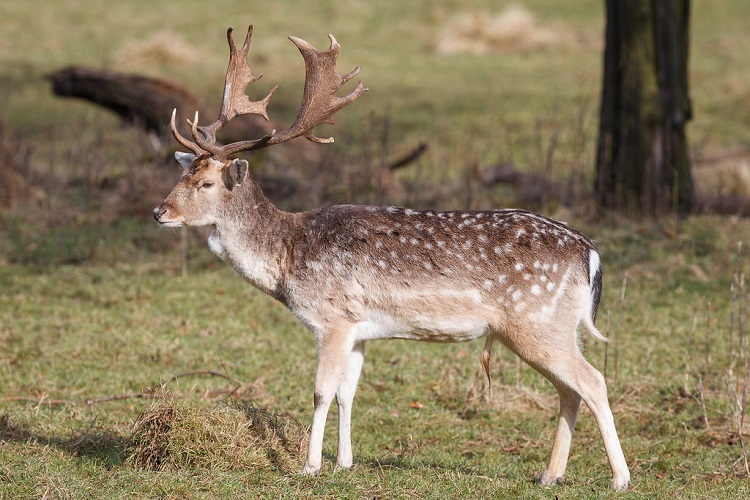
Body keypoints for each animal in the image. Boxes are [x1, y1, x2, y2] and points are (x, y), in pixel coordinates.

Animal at [154, 25, 636, 490]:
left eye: (206, 184)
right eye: (183, 172)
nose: (160, 212)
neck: (288, 257)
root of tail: (590, 253)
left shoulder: (332, 318)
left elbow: (321, 391)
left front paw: (309, 467)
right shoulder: (360, 328)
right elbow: (348, 392)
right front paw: (344, 463)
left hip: (535, 321)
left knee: (592, 381)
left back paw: (620, 478)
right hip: (552, 326)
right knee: (570, 390)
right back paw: (550, 474)